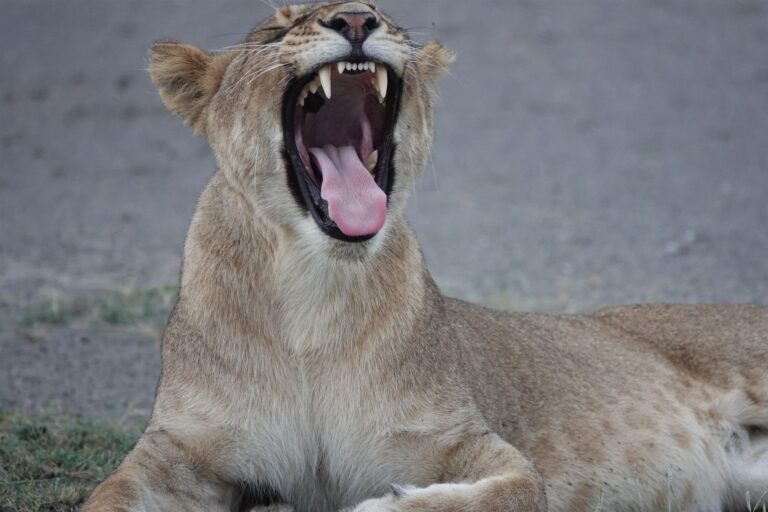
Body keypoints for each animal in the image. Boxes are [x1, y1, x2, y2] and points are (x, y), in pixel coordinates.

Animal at [83, 2, 767, 511]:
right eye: (277, 28)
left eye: (382, 13)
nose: (357, 19)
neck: (313, 286)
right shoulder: (179, 450)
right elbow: (106, 497)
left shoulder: (469, 442)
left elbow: (515, 492)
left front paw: (374, 504)